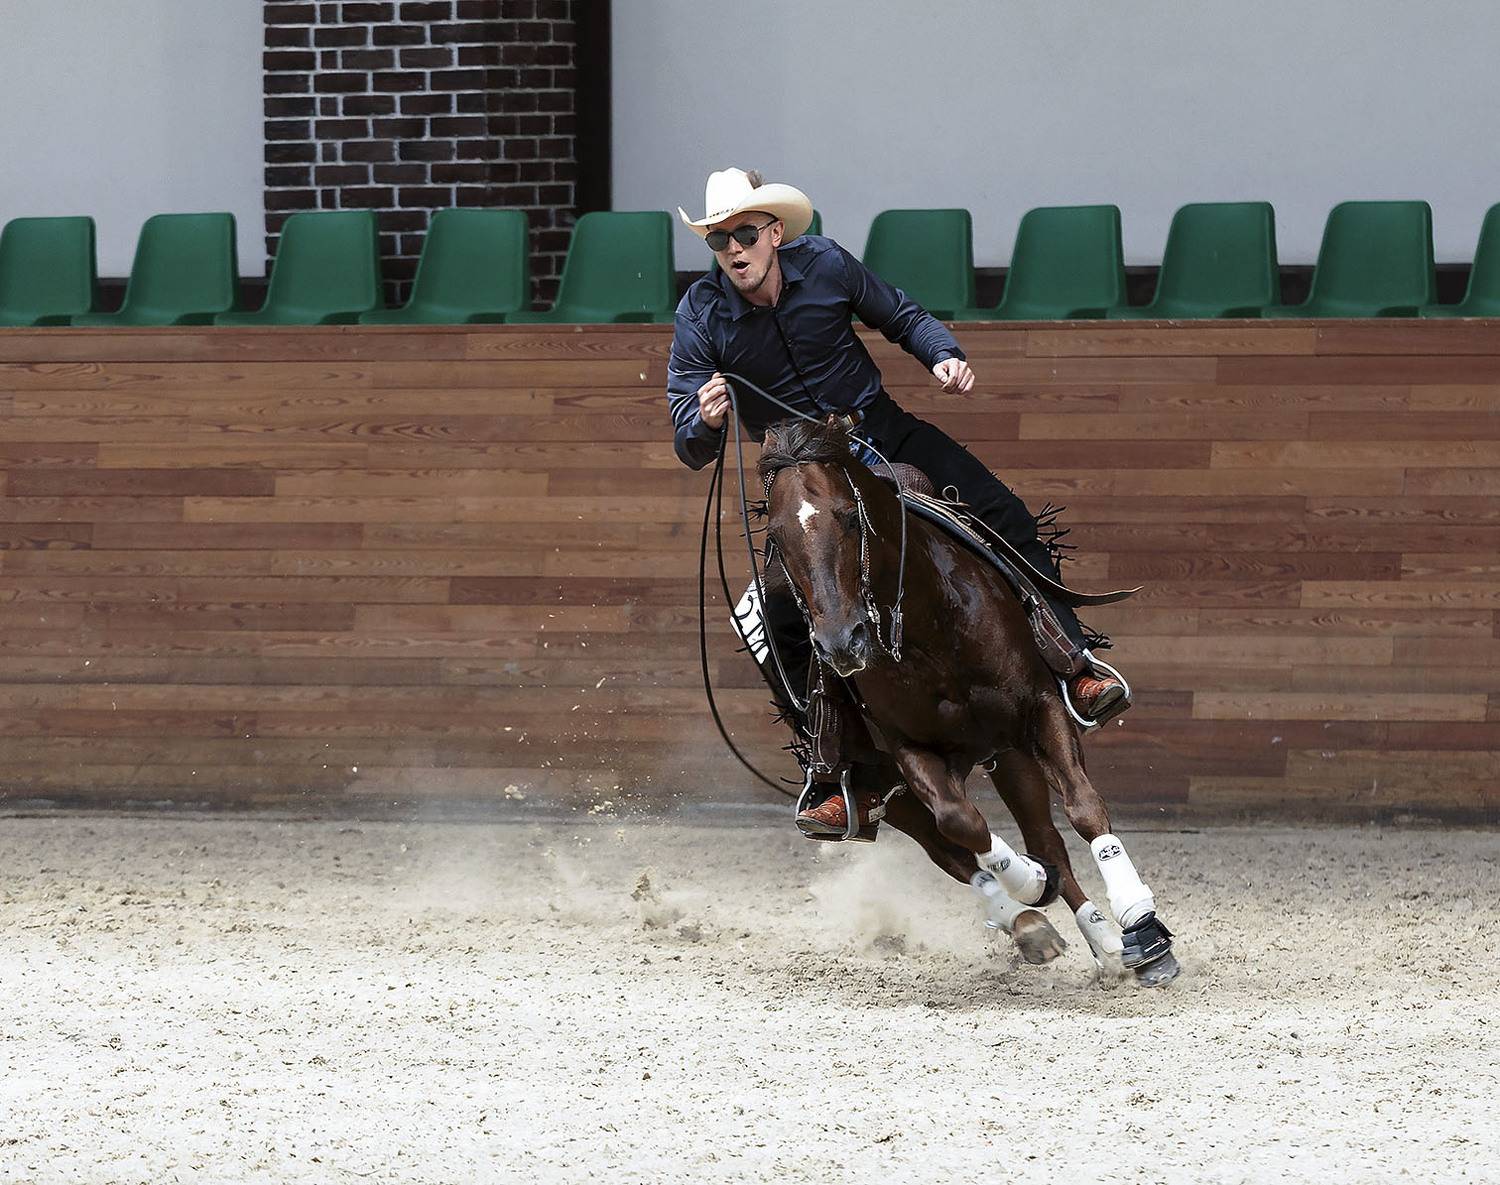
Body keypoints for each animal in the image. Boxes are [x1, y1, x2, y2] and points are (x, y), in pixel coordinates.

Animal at [755, 416, 1179, 986]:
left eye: (847, 516)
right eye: (776, 536)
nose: (842, 642)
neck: (932, 628)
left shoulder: (1040, 710)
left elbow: (1085, 809)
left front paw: (1141, 926)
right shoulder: (910, 753)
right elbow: (963, 823)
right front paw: (1029, 885)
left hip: (1011, 757)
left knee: (1048, 840)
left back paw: (1106, 942)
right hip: (890, 790)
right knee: (957, 855)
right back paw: (1028, 919)